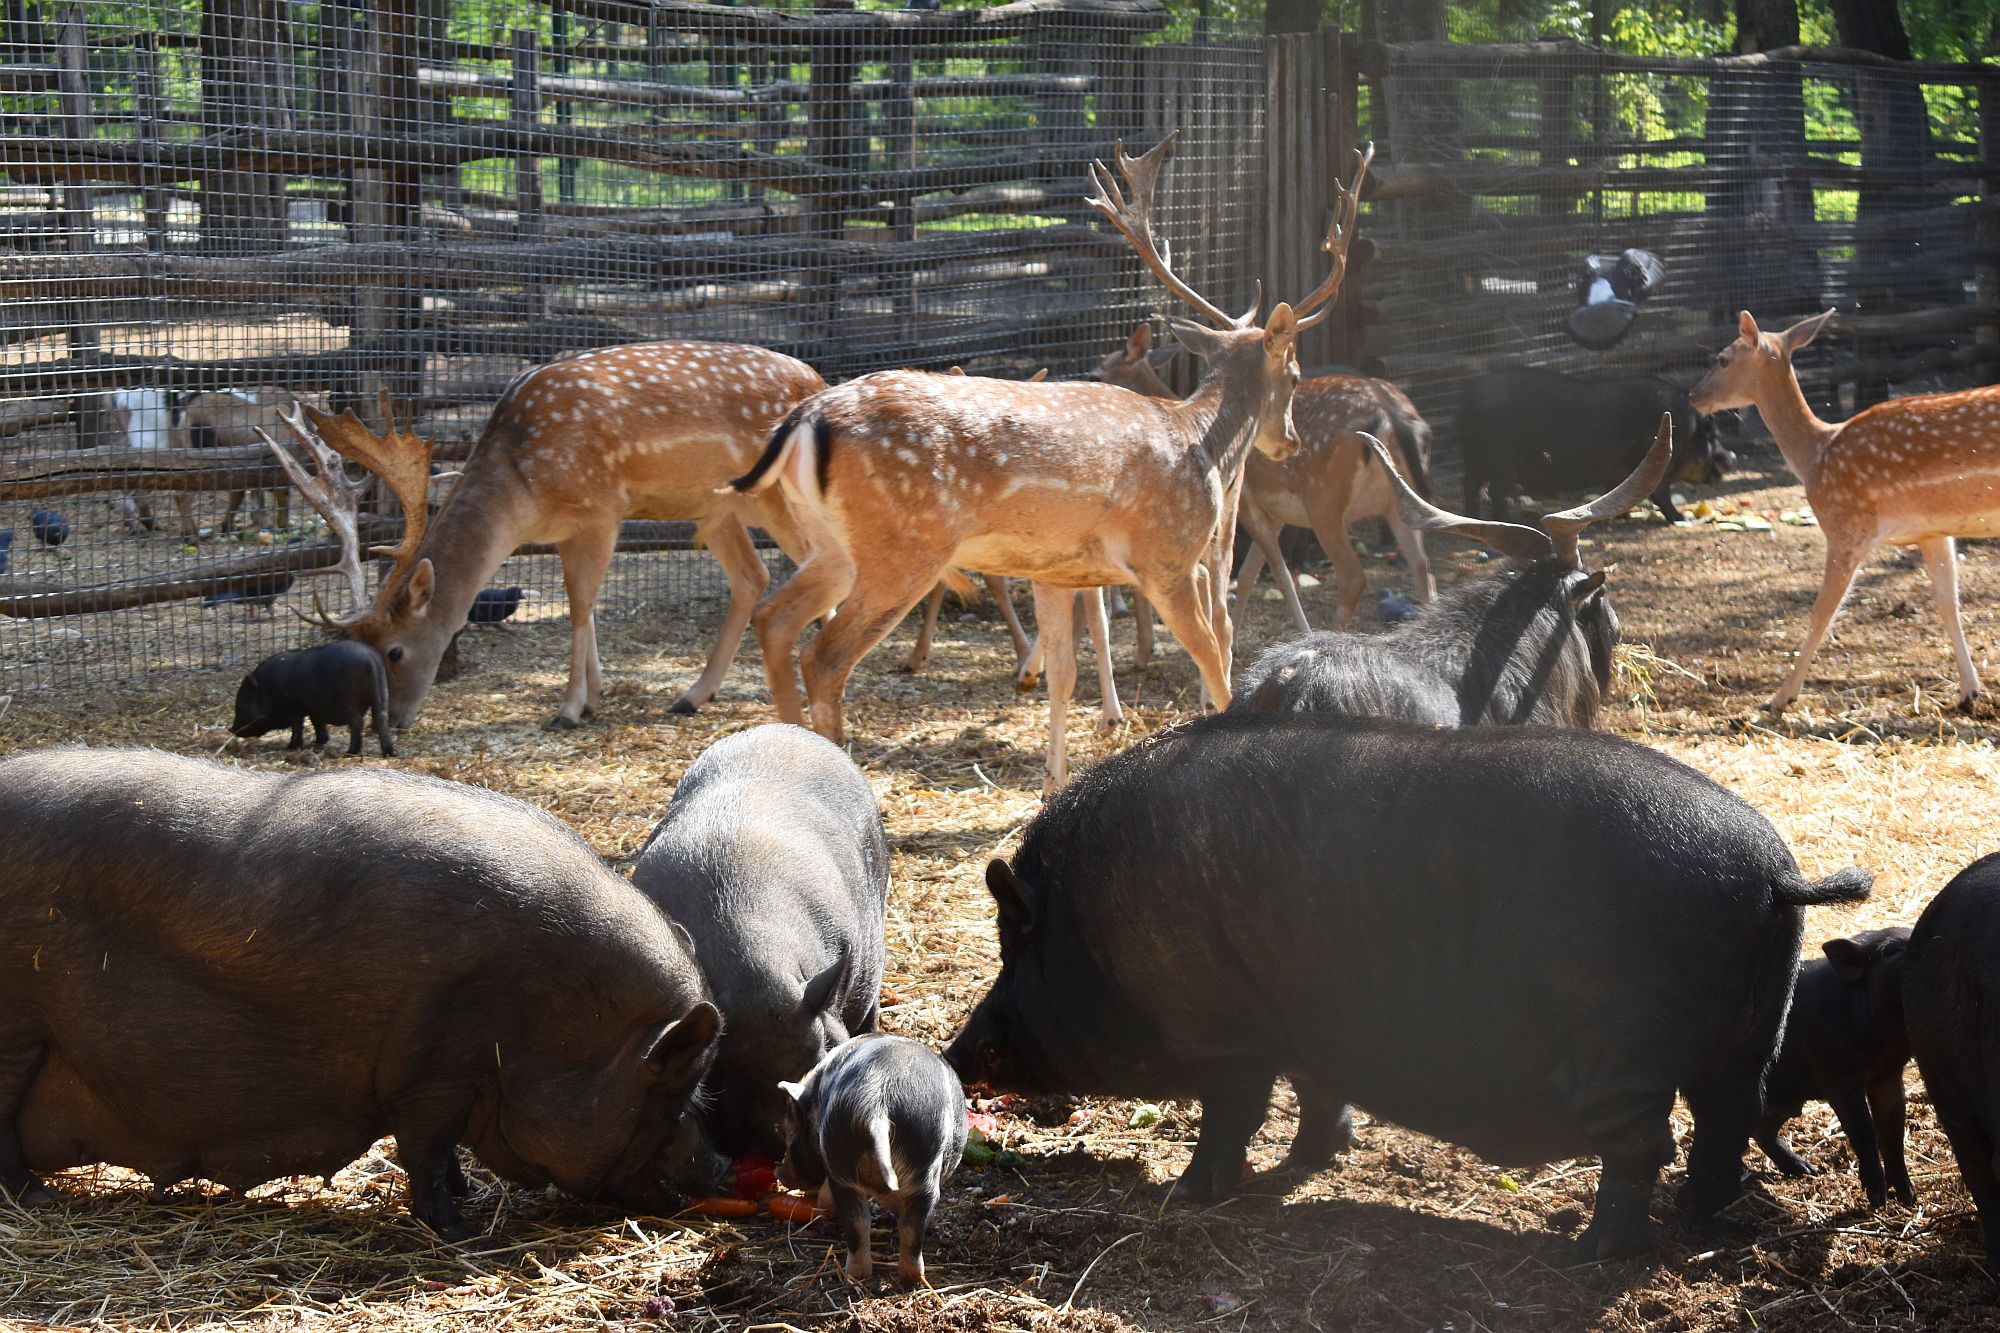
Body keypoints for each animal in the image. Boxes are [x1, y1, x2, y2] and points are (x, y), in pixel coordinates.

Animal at [0, 748, 725, 1238]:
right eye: (672, 1088)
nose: (720, 1164)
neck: (546, 1019)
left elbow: (444, 1155)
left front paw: (467, 1199)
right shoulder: (434, 1071)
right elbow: (426, 1151)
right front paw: (459, 1230)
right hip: (17, 1031)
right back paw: (35, 1197)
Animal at [231, 639, 395, 757]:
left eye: (242, 704)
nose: (231, 729)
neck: (268, 690)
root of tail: (371, 660)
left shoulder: (292, 707)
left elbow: (298, 726)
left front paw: (291, 747)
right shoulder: (314, 709)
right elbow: (317, 723)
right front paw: (319, 742)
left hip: (348, 702)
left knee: (357, 722)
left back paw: (351, 752)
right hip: (382, 693)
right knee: (381, 718)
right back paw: (390, 753)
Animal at [778, 1033, 967, 1284]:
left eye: (791, 1132)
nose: (778, 1174)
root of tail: (875, 1105)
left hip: (842, 1163)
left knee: (859, 1221)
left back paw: (861, 1274)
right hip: (923, 1172)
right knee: (910, 1225)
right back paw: (912, 1276)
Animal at [946, 713, 1872, 1258]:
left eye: (1013, 950)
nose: (955, 1054)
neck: (1089, 930)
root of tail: (1774, 874)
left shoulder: (1225, 1030)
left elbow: (1230, 1112)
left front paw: (1189, 1193)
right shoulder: (1304, 1029)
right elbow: (1315, 1092)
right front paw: (1314, 1158)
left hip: (1623, 1039)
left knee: (1648, 1142)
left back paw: (1590, 1250)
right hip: (1750, 1035)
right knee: (1726, 1120)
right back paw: (1691, 1217)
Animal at [1754, 928, 1914, 1208]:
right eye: (1890, 951)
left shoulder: (1889, 1077)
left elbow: (1893, 1133)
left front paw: (1909, 1198)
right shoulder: (1840, 1082)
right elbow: (1865, 1133)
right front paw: (1877, 1201)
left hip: (1788, 1100)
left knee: (1762, 1129)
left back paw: (1807, 1170)